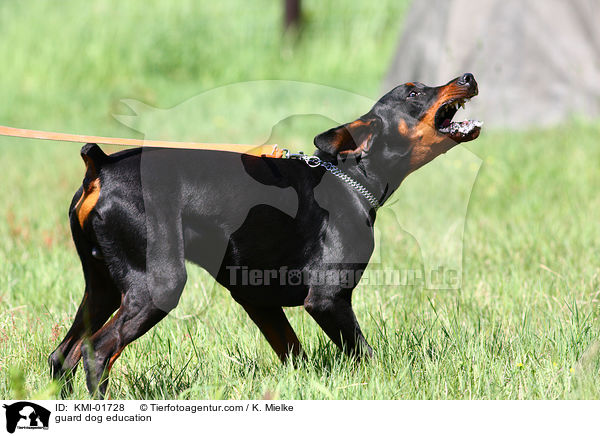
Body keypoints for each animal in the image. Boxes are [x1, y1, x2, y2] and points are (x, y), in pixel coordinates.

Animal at [50, 72, 482, 398]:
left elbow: (295, 354)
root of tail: (100, 167)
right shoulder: (328, 298)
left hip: (103, 286)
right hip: (158, 285)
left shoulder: (257, 299)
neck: (350, 177)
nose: (468, 77)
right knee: (97, 352)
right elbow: (364, 355)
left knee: (63, 355)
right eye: (413, 92)